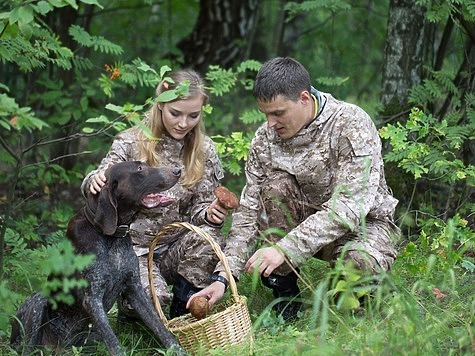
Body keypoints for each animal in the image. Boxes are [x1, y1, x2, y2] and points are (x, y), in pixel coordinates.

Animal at [10, 162, 186, 356]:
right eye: (139, 169)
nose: (177, 170)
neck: (110, 236)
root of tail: (58, 349)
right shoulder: (92, 299)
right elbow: (114, 343)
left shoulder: (135, 289)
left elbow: (160, 327)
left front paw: (178, 350)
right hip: (37, 302)